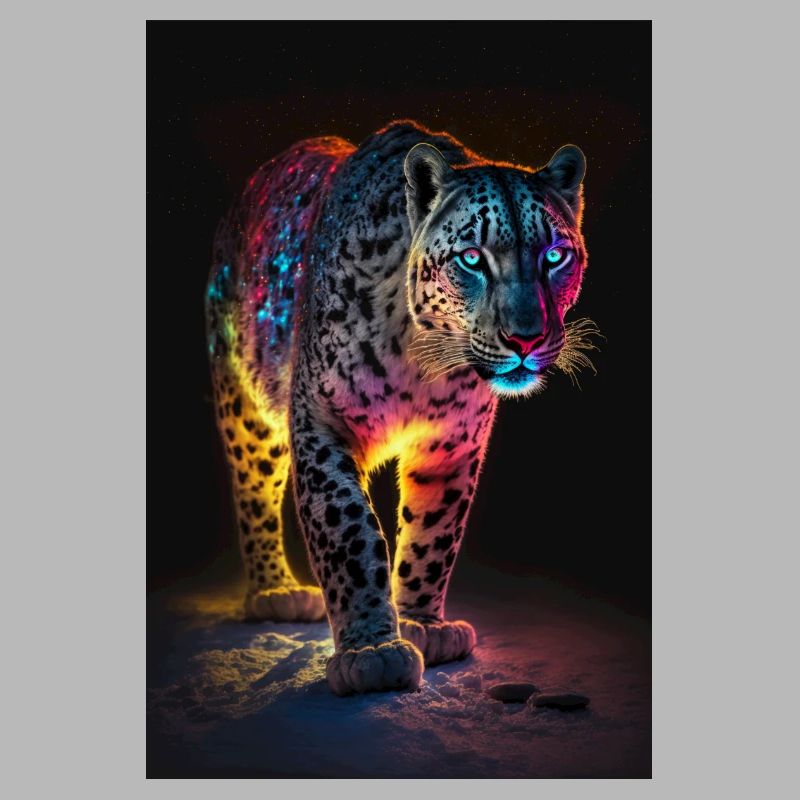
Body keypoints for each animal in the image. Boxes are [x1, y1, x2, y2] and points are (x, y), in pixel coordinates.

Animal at [205, 120, 591, 696]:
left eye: (554, 256)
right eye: (472, 259)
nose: (525, 338)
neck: (421, 356)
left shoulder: (452, 444)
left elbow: (435, 533)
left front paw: (423, 625)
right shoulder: (322, 421)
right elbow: (349, 531)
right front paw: (372, 652)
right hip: (244, 404)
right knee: (253, 489)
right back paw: (275, 592)